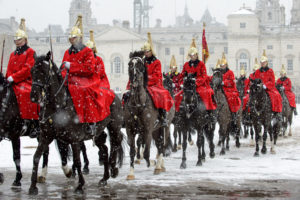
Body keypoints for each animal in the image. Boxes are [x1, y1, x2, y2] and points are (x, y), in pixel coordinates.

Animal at [27, 52, 123, 195]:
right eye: (32, 71)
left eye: (43, 71)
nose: (33, 96)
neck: (58, 106)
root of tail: (115, 94)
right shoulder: (45, 137)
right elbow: (36, 157)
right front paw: (33, 186)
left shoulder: (74, 139)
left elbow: (77, 161)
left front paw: (80, 186)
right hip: (98, 132)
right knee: (105, 149)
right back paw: (104, 178)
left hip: (114, 127)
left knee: (116, 143)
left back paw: (113, 168)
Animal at [124, 51, 176, 180]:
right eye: (130, 64)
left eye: (140, 64)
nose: (134, 77)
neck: (138, 103)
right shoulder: (130, 130)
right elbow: (133, 151)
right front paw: (131, 173)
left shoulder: (147, 129)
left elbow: (147, 151)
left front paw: (151, 162)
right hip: (156, 130)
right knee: (158, 145)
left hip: (165, 127)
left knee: (162, 145)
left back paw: (158, 166)